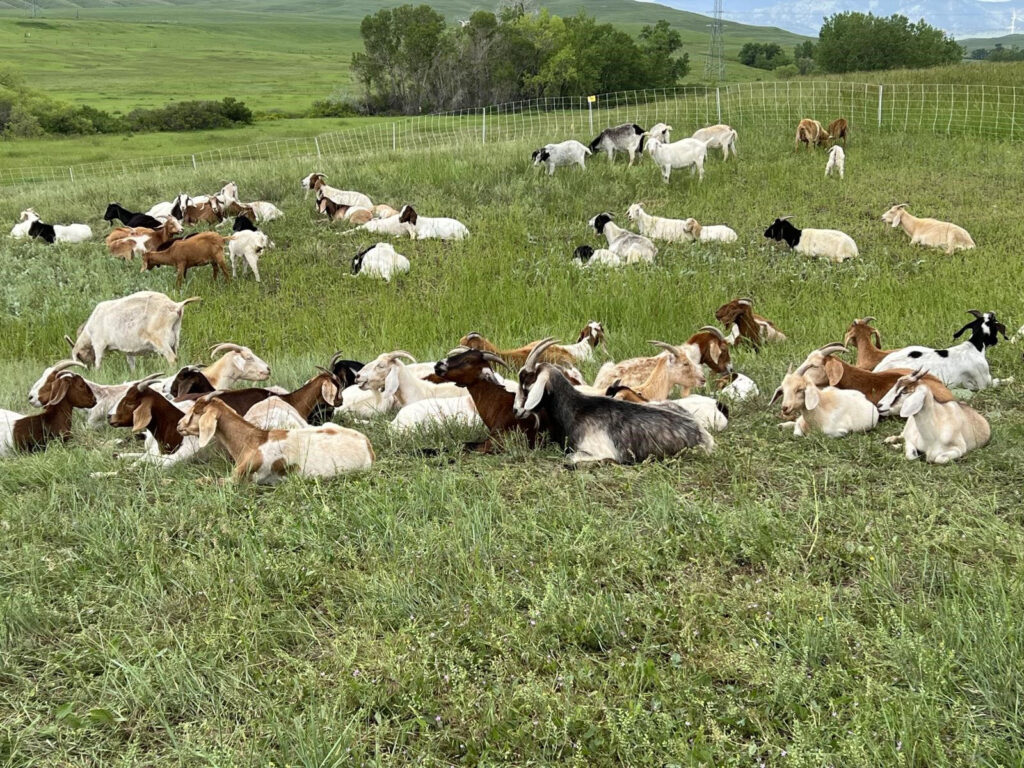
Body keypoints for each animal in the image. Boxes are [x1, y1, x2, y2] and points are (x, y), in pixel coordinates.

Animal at [66, 290, 199, 370]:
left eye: (80, 357)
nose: (87, 370)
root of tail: (176, 306)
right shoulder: (128, 349)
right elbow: (131, 363)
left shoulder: (99, 344)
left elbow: (98, 363)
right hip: (175, 337)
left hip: (160, 339)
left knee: (172, 359)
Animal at [178, 393, 374, 483]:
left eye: (196, 412)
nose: (179, 425)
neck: (253, 441)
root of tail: (367, 446)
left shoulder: (239, 478)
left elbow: (205, 481)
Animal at [512, 337, 712, 468]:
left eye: (526, 384)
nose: (516, 410)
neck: (576, 409)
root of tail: (704, 434)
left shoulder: (598, 451)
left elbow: (570, 460)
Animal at [868, 309, 1011, 391]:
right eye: (996, 327)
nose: (995, 341)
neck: (974, 346)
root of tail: (878, 370)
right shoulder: (984, 382)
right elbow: (997, 382)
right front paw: (1010, 379)